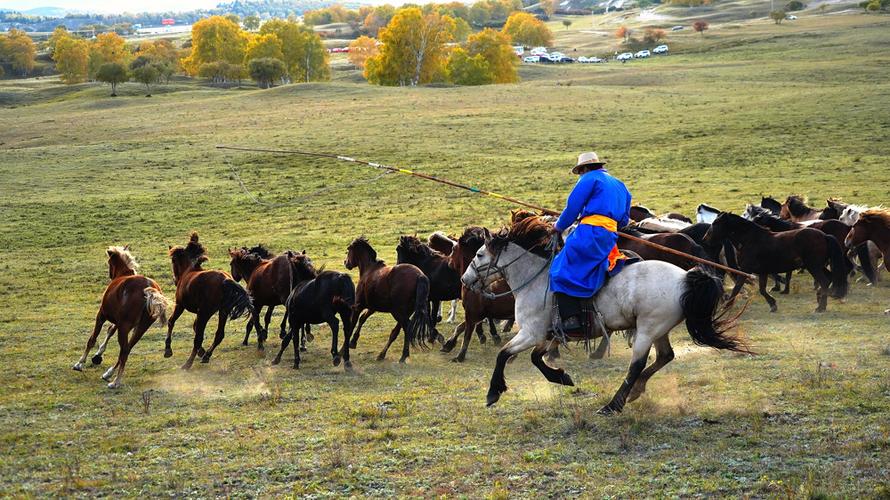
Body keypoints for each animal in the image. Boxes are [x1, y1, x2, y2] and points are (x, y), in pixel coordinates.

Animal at [73, 246, 172, 388]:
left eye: (109, 262)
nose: (110, 275)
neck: (124, 274)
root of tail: (148, 289)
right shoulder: (118, 322)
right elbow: (110, 331)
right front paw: (98, 354)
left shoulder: (101, 315)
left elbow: (92, 339)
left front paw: (80, 363)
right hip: (140, 328)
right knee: (127, 349)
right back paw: (109, 374)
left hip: (125, 327)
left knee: (124, 350)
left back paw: (116, 381)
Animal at [166, 233, 253, 369]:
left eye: (173, 260)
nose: (175, 280)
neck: (188, 271)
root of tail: (225, 280)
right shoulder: (199, 312)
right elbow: (195, 327)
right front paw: (202, 352)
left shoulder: (180, 305)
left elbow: (171, 322)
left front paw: (168, 350)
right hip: (222, 311)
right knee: (219, 335)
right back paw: (206, 355)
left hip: (205, 313)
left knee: (198, 339)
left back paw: (188, 363)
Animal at [461, 216, 751, 413]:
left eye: (479, 254)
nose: (464, 280)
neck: (535, 278)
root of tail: (684, 278)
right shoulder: (546, 334)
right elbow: (535, 358)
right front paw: (561, 377)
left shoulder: (531, 332)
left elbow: (503, 354)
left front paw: (493, 392)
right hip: (659, 329)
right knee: (665, 357)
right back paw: (635, 391)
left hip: (647, 330)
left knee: (637, 365)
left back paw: (614, 404)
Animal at [704, 213, 848, 312]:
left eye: (716, 223)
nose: (705, 239)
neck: (749, 241)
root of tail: (824, 236)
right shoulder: (762, 271)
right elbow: (762, 290)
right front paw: (773, 305)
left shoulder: (745, 269)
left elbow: (737, 287)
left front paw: (726, 306)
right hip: (818, 266)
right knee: (829, 278)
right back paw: (820, 301)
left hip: (813, 266)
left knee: (824, 281)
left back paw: (820, 307)